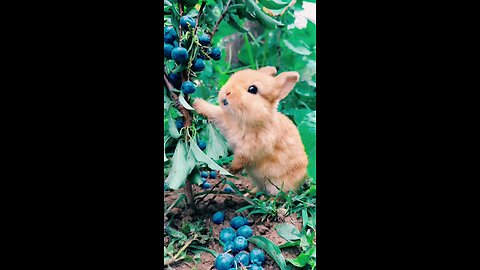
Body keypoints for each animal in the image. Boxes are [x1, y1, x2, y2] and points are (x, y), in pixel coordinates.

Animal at [193, 66, 310, 195]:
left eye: (252, 89)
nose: (227, 92)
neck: (243, 121)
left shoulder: (251, 148)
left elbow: (242, 158)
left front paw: (231, 169)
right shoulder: (225, 120)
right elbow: (213, 112)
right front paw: (196, 103)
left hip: (279, 185)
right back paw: (249, 193)